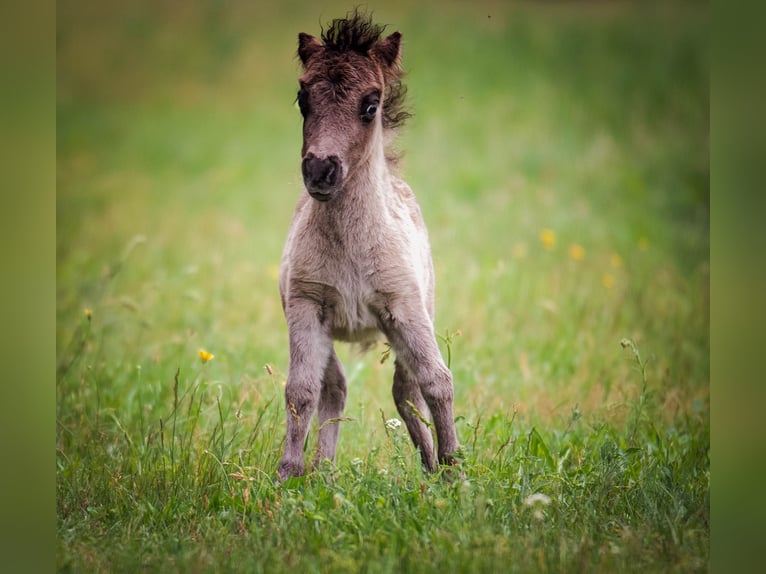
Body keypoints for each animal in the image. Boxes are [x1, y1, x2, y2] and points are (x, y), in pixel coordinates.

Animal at [276, 10, 460, 481]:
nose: (320, 170)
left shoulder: (406, 306)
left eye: (371, 104)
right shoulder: (305, 305)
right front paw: (286, 473)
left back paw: (431, 465)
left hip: (410, 317)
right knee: (335, 387)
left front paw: (456, 470)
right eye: (302, 98)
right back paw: (323, 470)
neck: (351, 248)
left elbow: (437, 380)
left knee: (405, 388)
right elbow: (301, 390)